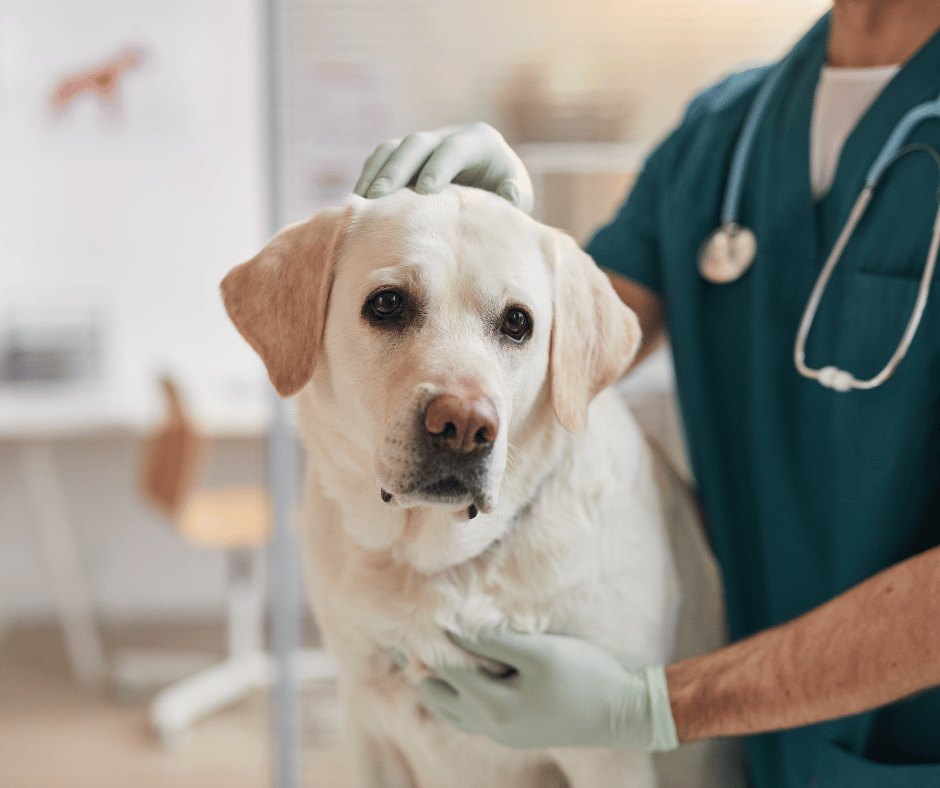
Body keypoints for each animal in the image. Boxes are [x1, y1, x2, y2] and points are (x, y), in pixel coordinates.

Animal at [220, 186, 736, 788]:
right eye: (387, 304)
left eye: (517, 322)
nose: (464, 426)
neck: (440, 564)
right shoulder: (367, 727)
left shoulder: (611, 757)